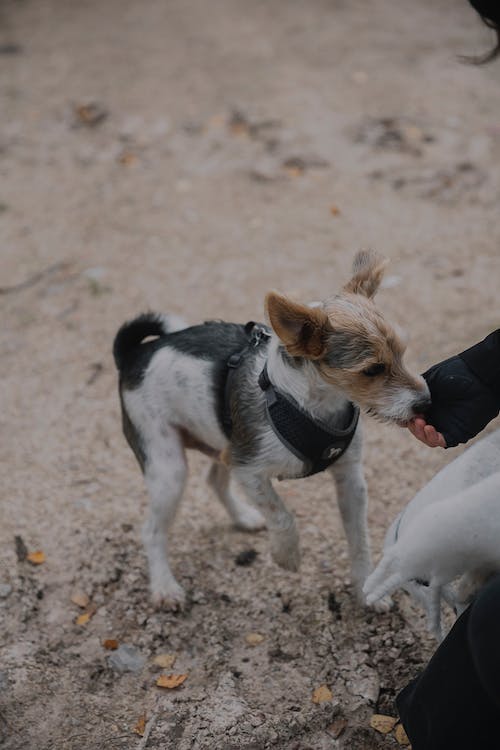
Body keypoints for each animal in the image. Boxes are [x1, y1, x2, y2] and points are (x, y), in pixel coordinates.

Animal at [113, 253, 430, 612]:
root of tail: (135, 354)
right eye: (373, 370)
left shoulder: (350, 479)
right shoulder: (250, 470)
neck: (309, 403)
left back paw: (243, 517)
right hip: (169, 468)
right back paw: (165, 587)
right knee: (152, 530)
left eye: (402, 353)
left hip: (225, 442)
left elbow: (359, 539)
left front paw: (366, 591)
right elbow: (282, 515)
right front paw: (287, 555)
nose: (425, 403)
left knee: (215, 481)